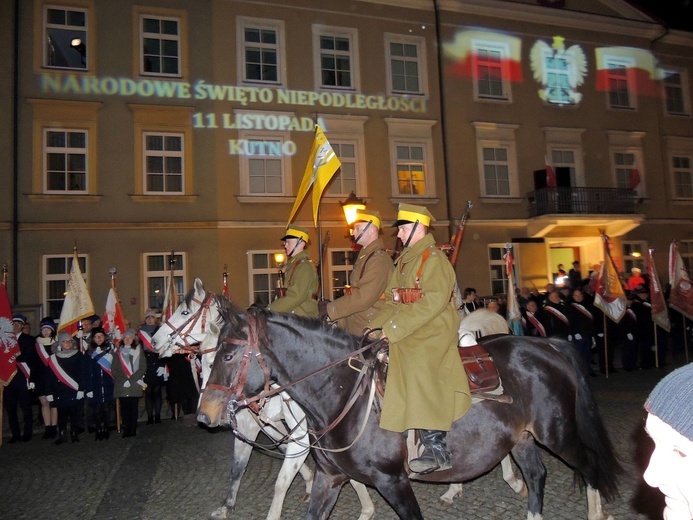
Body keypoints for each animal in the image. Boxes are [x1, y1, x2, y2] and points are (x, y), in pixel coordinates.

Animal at [151, 280, 376, 520]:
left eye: (184, 312)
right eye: (206, 363)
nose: (154, 340)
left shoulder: (300, 432)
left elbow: (282, 480)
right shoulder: (259, 425)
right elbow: (240, 465)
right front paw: (228, 505)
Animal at [197, 304, 620, 520]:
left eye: (229, 355)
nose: (204, 415)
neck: (344, 394)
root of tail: (547, 344)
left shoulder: (394, 481)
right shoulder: (329, 479)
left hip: (558, 434)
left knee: (589, 466)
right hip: (522, 438)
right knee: (536, 475)